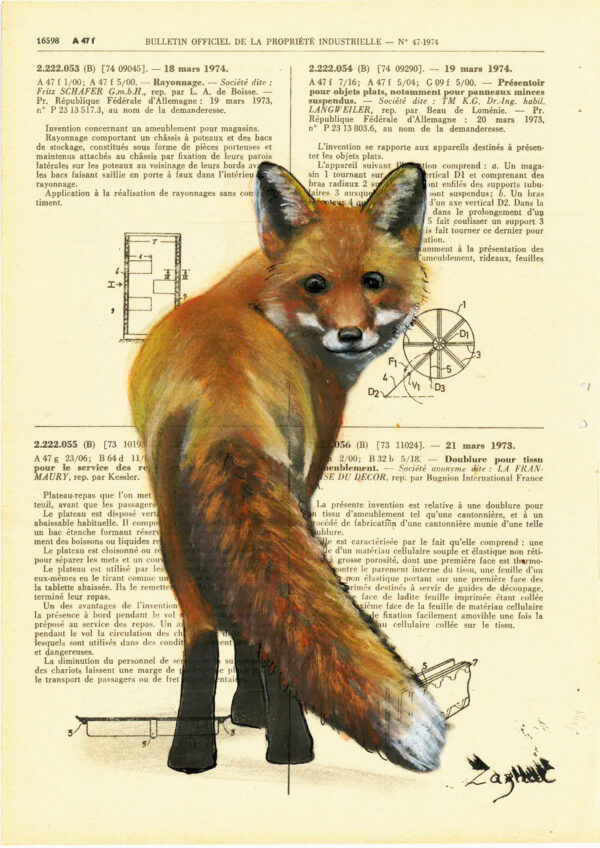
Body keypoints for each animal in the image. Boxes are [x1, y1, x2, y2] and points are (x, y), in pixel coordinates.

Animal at [128, 161, 446, 775]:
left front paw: (244, 713)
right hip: (284, 494)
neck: (257, 299)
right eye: (315, 284)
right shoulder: (308, 474)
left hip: (170, 520)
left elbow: (242, 619)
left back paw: (190, 758)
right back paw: (293, 750)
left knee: (202, 633)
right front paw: (256, 714)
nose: (350, 334)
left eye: (373, 281)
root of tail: (224, 401)